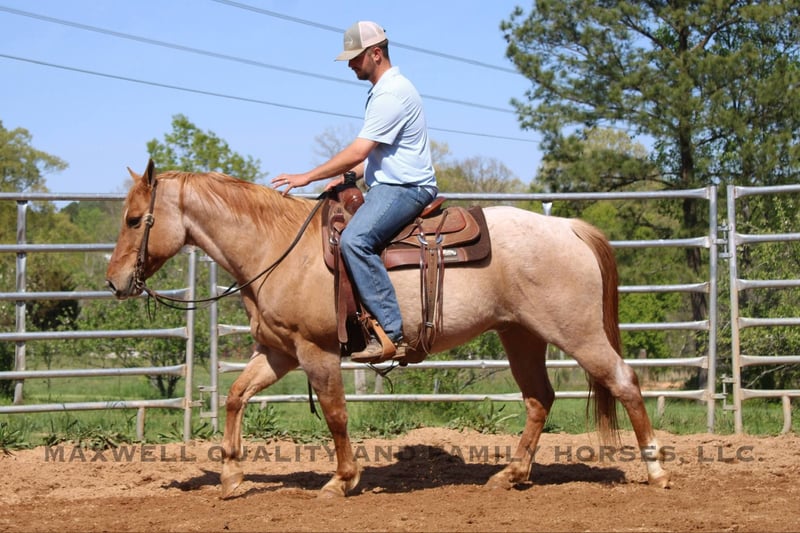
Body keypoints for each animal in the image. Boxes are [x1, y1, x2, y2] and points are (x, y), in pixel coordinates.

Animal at [105, 161, 671, 498]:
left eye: (135, 220)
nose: (114, 282)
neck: (278, 247)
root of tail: (568, 228)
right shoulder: (279, 352)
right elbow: (235, 397)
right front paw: (230, 478)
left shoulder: (316, 352)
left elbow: (335, 414)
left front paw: (342, 479)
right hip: (521, 335)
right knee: (539, 398)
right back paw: (510, 475)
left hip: (577, 333)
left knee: (624, 381)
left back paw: (657, 471)